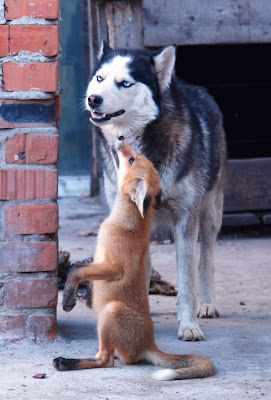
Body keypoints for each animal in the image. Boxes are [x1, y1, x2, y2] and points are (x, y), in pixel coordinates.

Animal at [54, 138, 217, 382]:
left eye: (132, 159)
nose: (120, 138)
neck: (125, 222)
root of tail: (149, 343)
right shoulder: (99, 261)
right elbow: (83, 271)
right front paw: (84, 297)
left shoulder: (114, 267)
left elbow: (76, 269)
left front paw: (68, 299)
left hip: (111, 312)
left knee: (106, 360)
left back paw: (66, 362)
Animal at [85, 39, 227, 340]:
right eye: (99, 78)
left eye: (125, 83)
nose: (93, 99)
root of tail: (197, 89)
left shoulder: (186, 217)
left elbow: (187, 278)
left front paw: (188, 325)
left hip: (211, 213)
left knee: (206, 258)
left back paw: (207, 303)